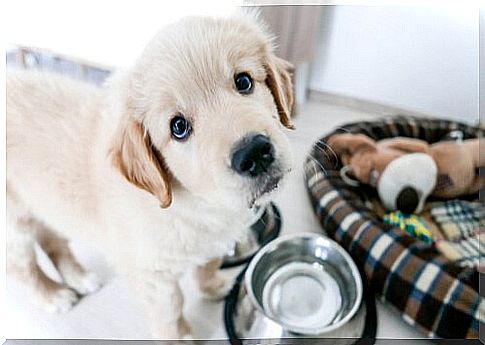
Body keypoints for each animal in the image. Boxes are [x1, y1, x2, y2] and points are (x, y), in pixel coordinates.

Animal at [5, 12, 294, 338]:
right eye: (178, 127)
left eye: (243, 82)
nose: (254, 154)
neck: (199, 203)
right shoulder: (153, 276)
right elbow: (170, 309)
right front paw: (180, 337)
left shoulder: (213, 240)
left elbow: (208, 265)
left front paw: (212, 287)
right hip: (14, 225)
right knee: (21, 266)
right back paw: (53, 295)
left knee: (53, 241)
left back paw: (80, 278)